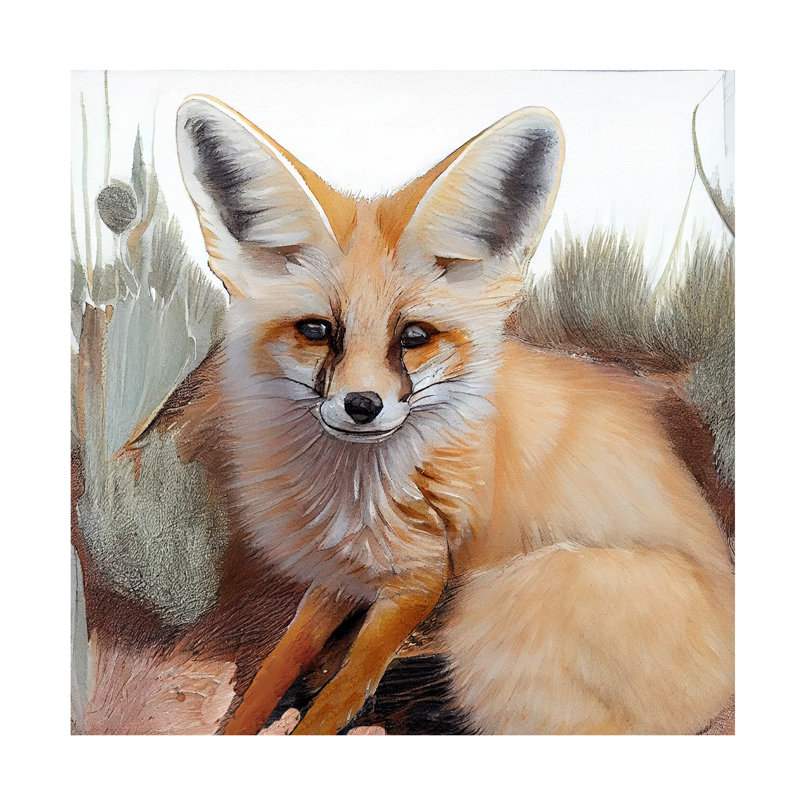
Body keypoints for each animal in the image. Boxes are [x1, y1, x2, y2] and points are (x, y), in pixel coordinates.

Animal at [164, 95, 734, 735]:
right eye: (317, 330)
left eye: (414, 336)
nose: (362, 406)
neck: (354, 492)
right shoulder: (349, 570)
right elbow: (280, 661)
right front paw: (257, 713)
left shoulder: (420, 578)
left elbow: (342, 693)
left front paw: (323, 705)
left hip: (505, 600)